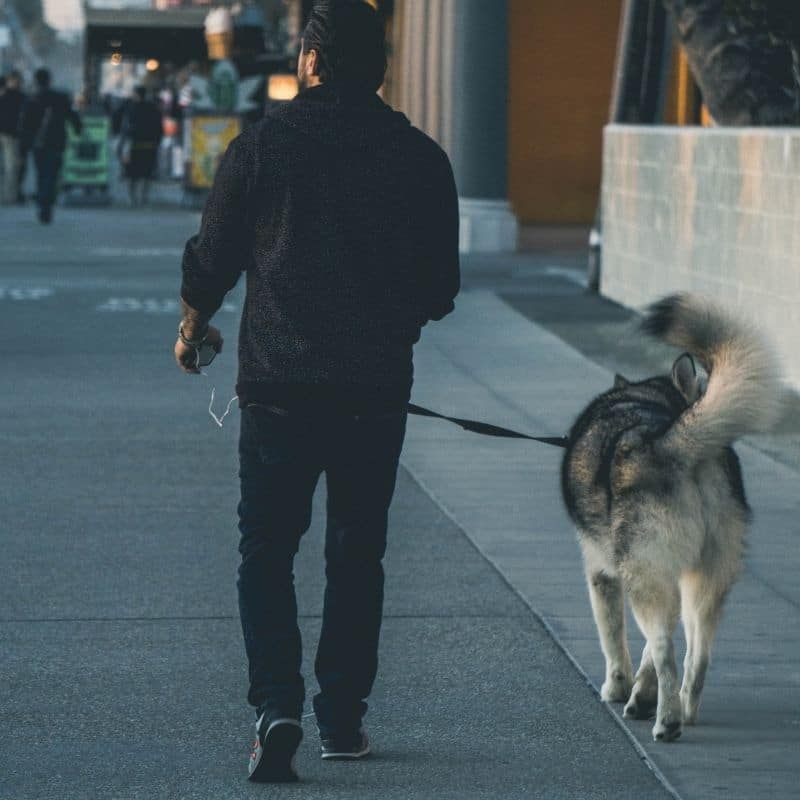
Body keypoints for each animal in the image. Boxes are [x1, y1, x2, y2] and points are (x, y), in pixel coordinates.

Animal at [564, 294, 780, 744]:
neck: (651, 400)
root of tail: (673, 440)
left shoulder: (602, 572)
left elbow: (615, 641)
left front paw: (618, 688)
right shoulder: (672, 577)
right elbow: (650, 649)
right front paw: (640, 693)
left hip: (645, 574)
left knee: (665, 648)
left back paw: (665, 721)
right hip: (705, 579)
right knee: (697, 654)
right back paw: (681, 708)